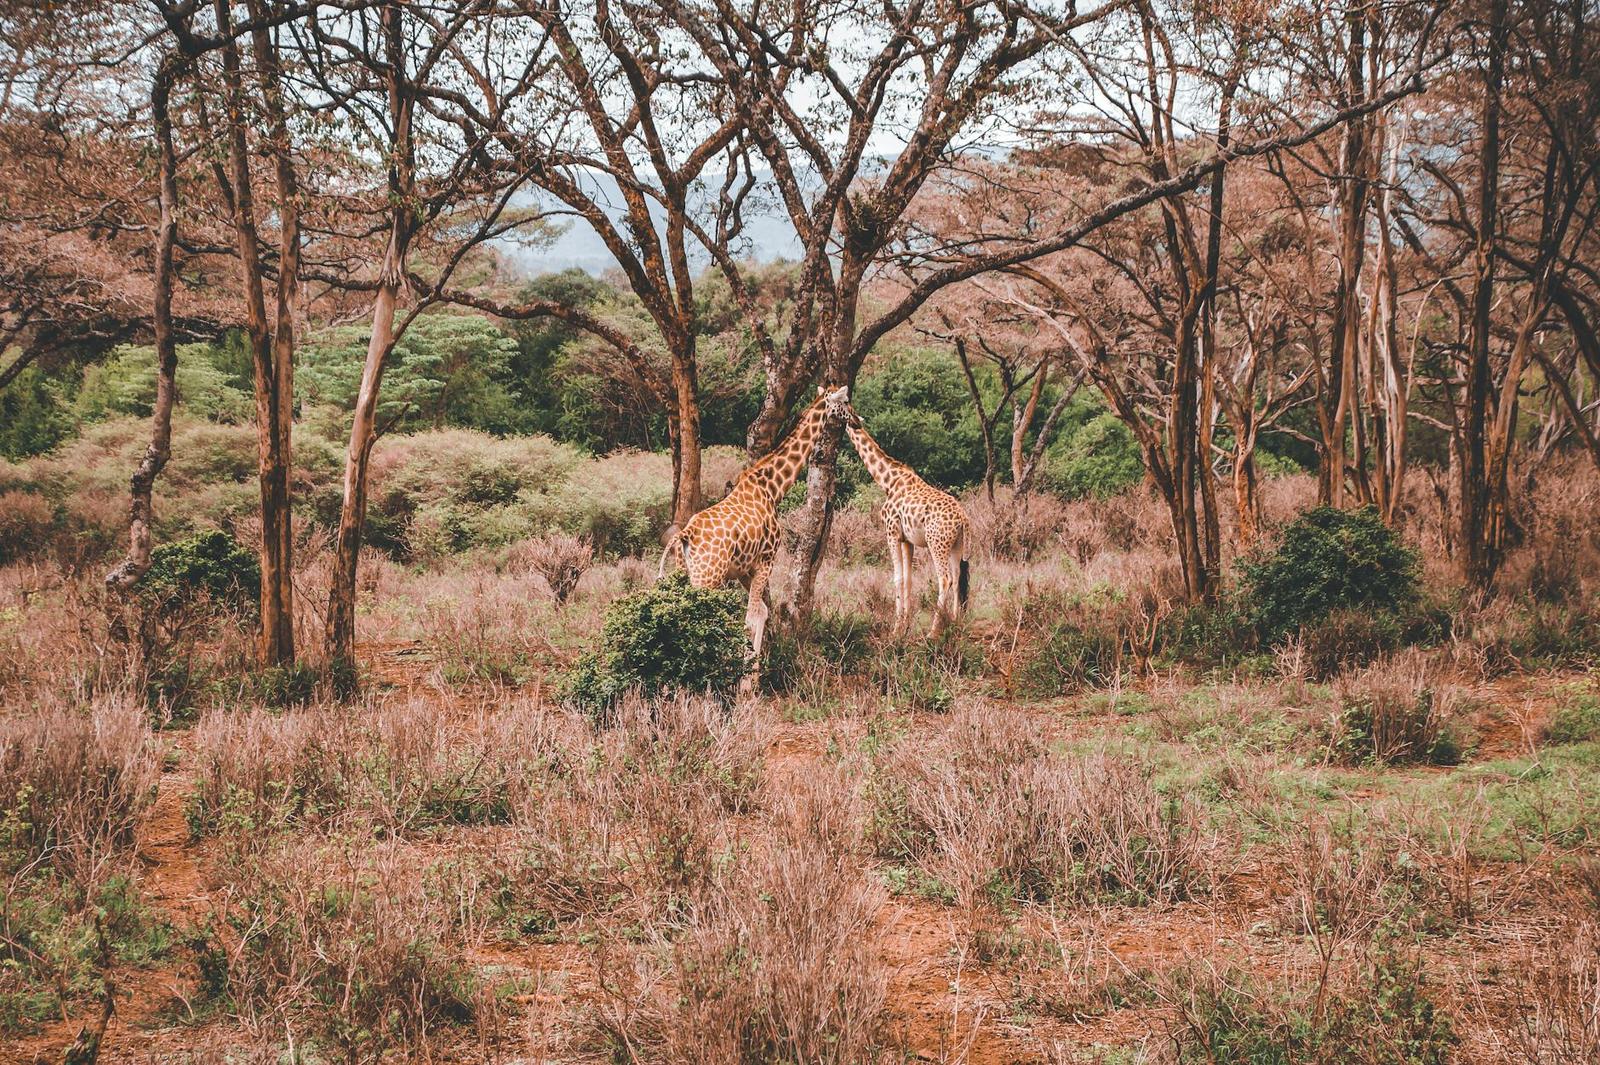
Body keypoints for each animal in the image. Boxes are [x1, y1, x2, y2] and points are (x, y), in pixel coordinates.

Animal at [658, 385, 850, 691]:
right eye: (844, 401)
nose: (856, 419)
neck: (773, 487)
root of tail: (685, 535)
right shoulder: (767, 559)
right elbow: (751, 616)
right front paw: (747, 686)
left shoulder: (744, 570)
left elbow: (760, 612)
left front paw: (752, 678)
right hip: (707, 576)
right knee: (692, 616)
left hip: (685, 572)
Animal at [841, 403, 971, 637]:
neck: (887, 481)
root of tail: (963, 518)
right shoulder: (907, 540)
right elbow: (908, 579)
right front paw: (905, 626)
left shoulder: (891, 533)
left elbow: (898, 578)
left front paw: (895, 629)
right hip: (956, 544)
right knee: (957, 579)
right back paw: (956, 625)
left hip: (937, 543)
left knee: (944, 579)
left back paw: (934, 631)